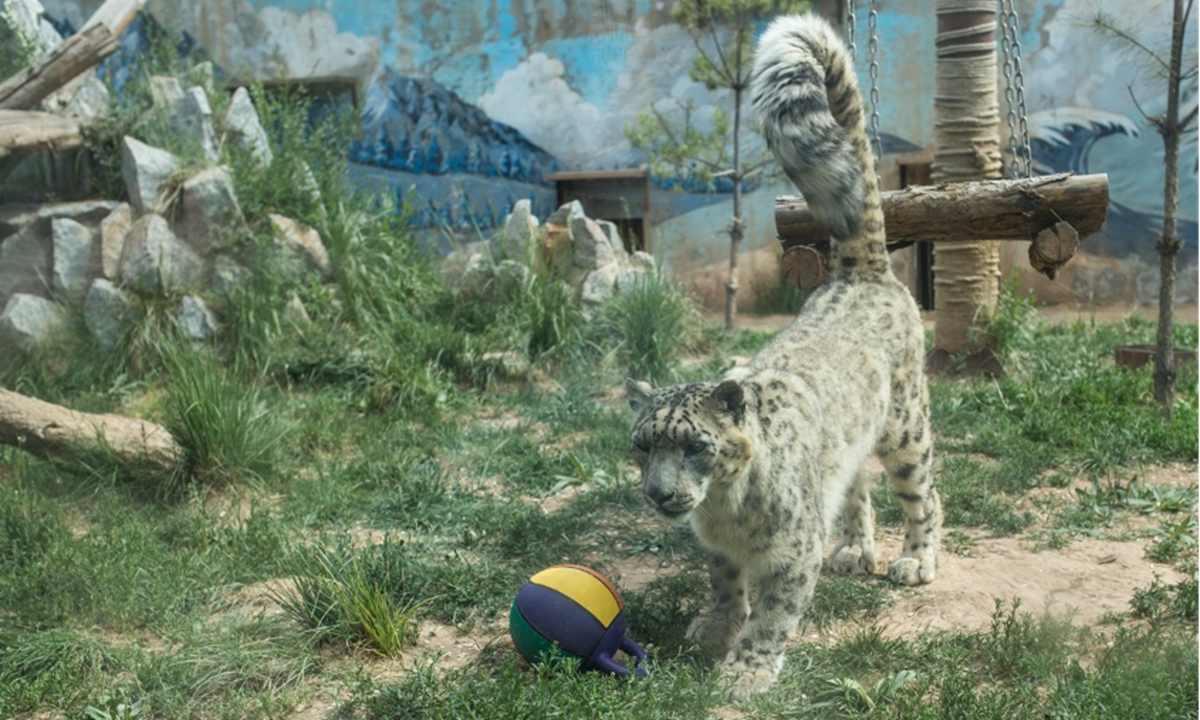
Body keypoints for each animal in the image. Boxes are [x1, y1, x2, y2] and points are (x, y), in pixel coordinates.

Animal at [624, 12, 940, 696]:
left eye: (695, 447)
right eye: (641, 447)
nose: (660, 495)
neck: (722, 511)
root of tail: (862, 271)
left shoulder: (793, 552)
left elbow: (773, 612)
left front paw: (744, 671)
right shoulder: (717, 550)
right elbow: (725, 584)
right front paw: (716, 625)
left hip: (907, 428)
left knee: (923, 493)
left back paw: (915, 560)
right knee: (855, 486)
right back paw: (854, 549)